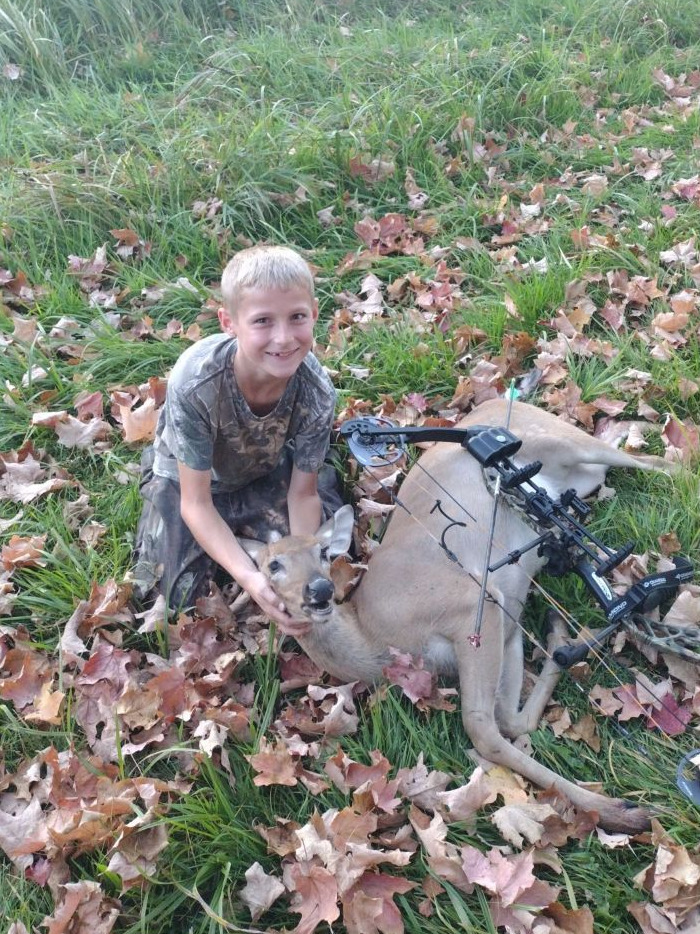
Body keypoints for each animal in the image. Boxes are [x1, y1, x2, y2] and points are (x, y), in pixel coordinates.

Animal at [243, 398, 679, 833]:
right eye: (272, 565)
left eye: (322, 553)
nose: (318, 590)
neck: (375, 639)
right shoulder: (507, 616)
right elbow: (510, 718)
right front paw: (562, 637)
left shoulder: (472, 603)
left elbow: (481, 727)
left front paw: (624, 811)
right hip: (580, 476)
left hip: (560, 438)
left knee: (652, 460)